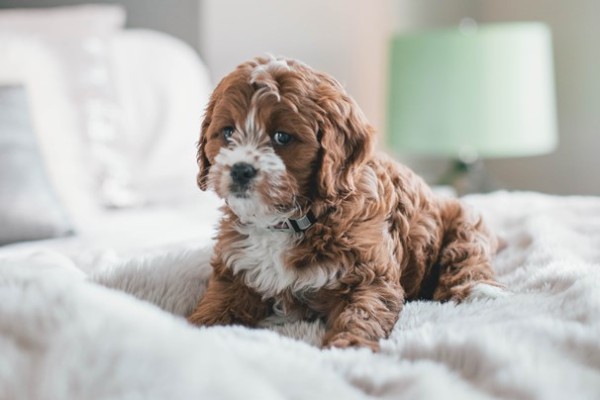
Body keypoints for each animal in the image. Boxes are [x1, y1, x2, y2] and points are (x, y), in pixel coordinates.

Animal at [189, 55, 502, 350]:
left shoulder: (369, 275)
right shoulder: (235, 272)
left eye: (282, 137)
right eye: (228, 132)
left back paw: (480, 291)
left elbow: (362, 313)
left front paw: (348, 347)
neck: (290, 220)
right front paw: (192, 329)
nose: (240, 170)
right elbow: (218, 304)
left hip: (464, 220)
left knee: (467, 254)